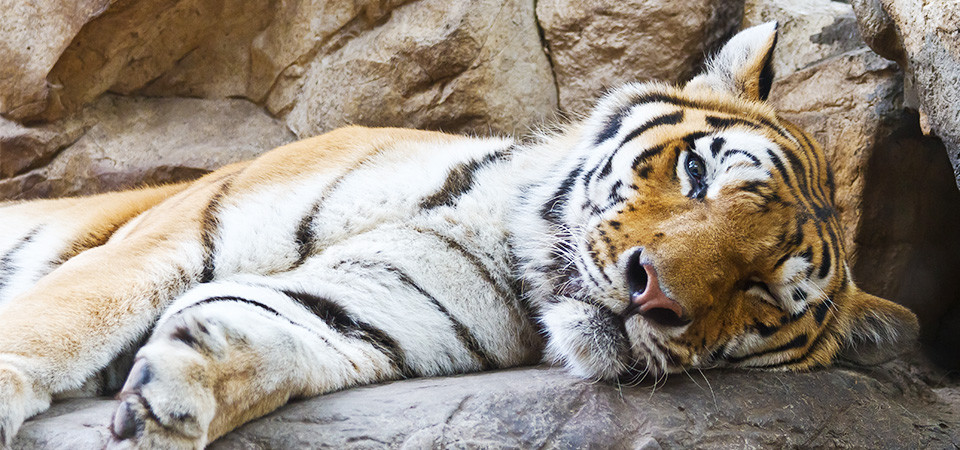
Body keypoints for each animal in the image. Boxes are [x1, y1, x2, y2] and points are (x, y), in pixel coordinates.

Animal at [0, 22, 917, 448]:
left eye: (761, 293)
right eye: (698, 172)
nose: (650, 291)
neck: (499, 239)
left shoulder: (368, 312)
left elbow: (271, 330)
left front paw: (175, 397)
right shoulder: (175, 236)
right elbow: (52, 324)